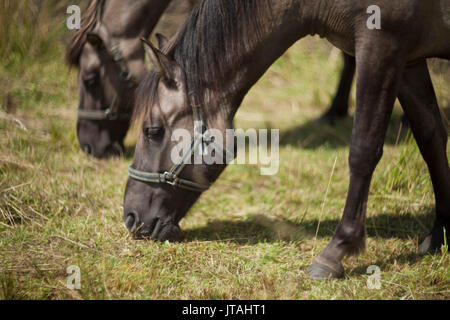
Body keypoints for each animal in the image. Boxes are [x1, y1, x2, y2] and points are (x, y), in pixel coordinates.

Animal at [124, 0, 450, 280]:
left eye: (152, 131)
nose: (130, 217)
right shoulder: (407, 60)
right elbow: (430, 137)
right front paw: (440, 232)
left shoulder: (381, 46)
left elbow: (363, 150)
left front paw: (337, 251)